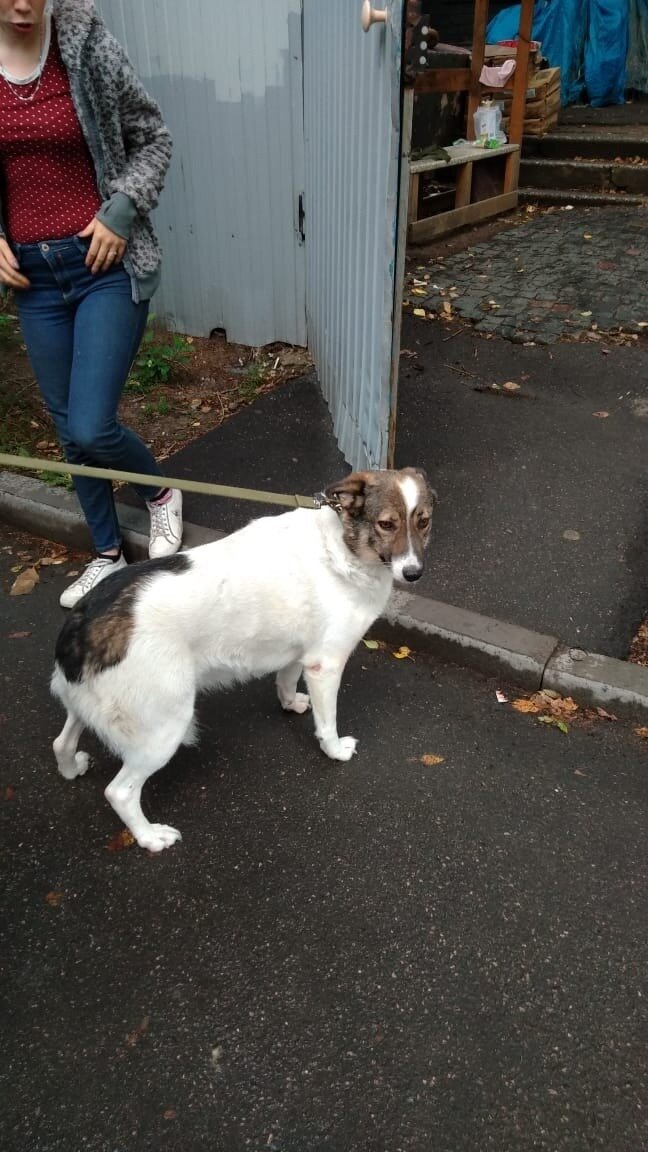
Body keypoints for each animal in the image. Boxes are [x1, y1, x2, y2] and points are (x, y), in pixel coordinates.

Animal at [51, 467, 433, 857]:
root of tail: (83, 624)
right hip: (163, 728)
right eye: (387, 524)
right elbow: (327, 725)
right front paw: (335, 750)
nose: (414, 573)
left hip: (90, 707)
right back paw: (149, 836)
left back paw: (72, 768)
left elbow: (285, 681)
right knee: (120, 792)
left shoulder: (299, 653)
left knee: (61, 743)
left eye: (423, 521)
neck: (341, 548)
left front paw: (291, 704)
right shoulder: (324, 665)